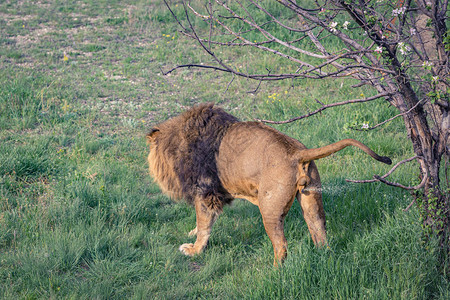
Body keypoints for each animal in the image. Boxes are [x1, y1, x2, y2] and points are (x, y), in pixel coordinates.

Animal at [147, 103, 390, 264]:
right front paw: (192, 233)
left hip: (270, 208)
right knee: (319, 230)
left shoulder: (206, 192)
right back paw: (323, 256)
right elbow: (201, 223)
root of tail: (296, 152)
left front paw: (194, 250)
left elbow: (204, 225)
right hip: (311, 200)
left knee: (281, 246)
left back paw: (274, 271)